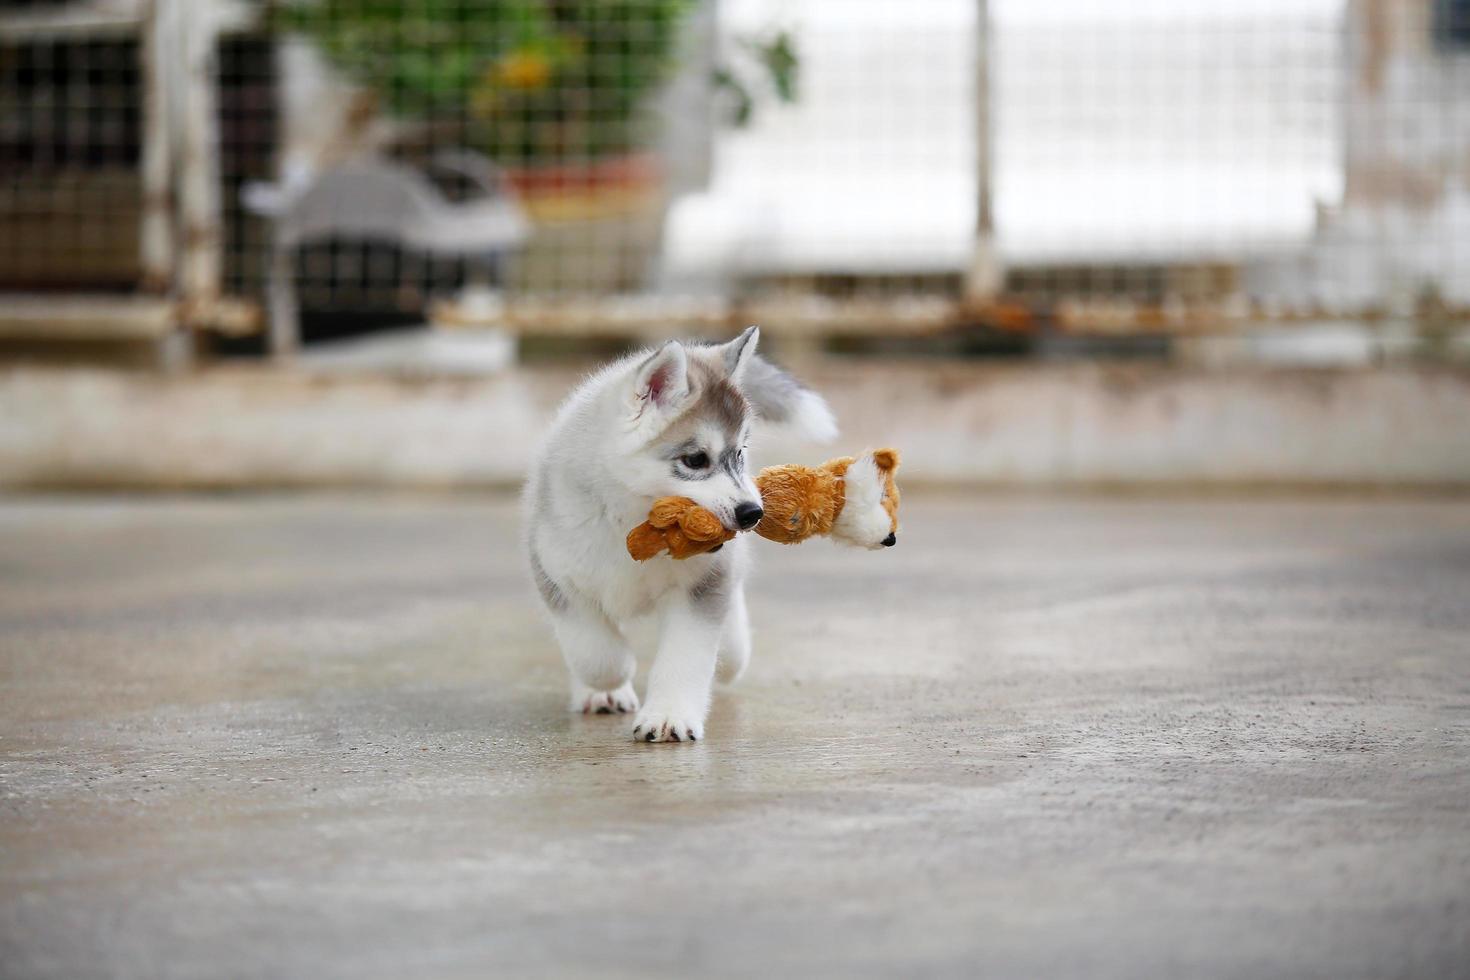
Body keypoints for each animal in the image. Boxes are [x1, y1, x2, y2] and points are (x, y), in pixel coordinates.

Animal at [523, 329, 834, 743]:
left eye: (740, 453)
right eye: (696, 460)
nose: (753, 513)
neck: (633, 524)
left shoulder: (698, 587)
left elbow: (686, 657)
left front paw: (668, 717)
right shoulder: (557, 576)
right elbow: (595, 652)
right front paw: (610, 678)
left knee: (732, 641)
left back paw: (731, 646)